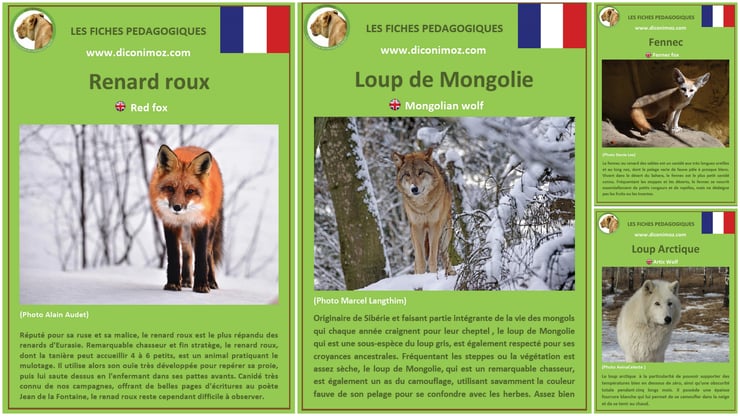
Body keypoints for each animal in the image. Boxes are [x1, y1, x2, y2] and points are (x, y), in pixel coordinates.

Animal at [149, 145, 224, 293]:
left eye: (190, 191)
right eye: (170, 188)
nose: (177, 207)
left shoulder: (200, 223)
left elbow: (201, 258)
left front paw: (201, 285)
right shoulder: (170, 224)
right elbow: (174, 257)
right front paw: (173, 283)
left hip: (211, 227)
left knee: (209, 253)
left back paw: (211, 281)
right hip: (185, 233)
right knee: (187, 252)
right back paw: (186, 280)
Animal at [392, 147, 455, 276]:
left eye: (421, 172)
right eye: (407, 174)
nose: (414, 189)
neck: (423, 206)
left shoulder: (434, 226)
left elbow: (432, 258)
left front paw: (433, 275)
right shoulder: (417, 227)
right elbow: (420, 260)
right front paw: (420, 276)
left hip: (446, 232)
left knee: (443, 252)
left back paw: (450, 272)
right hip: (413, 234)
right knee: (417, 259)